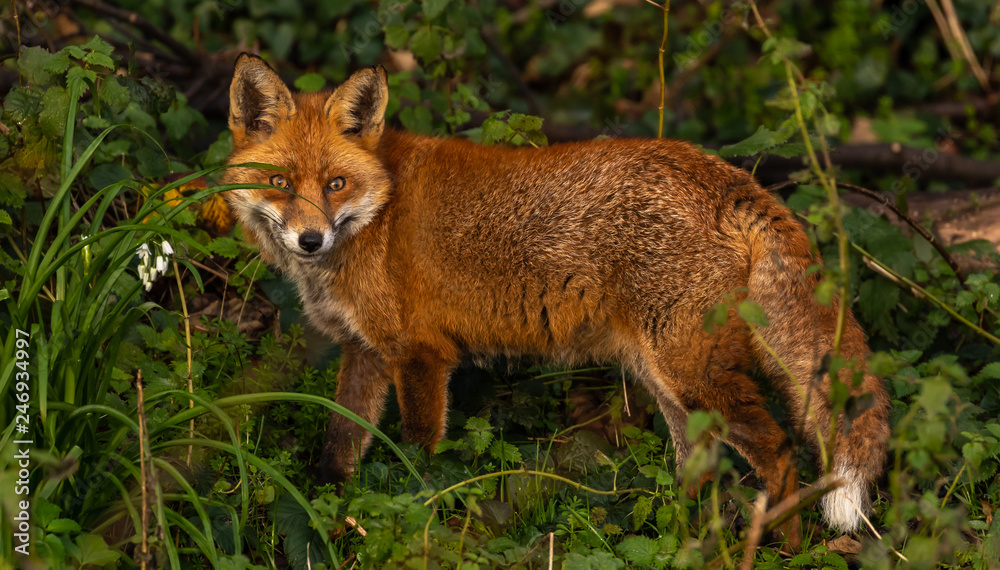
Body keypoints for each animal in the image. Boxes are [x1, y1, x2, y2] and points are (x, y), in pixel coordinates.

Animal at [222, 53, 890, 548]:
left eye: (336, 184)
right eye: (280, 184)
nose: (311, 239)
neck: (375, 217)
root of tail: (717, 171)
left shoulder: (420, 354)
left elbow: (419, 461)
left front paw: (416, 518)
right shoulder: (364, 352)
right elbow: (340, 448)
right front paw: (326, 514)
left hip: (692, 376)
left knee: (778, 451)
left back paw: (781, 547)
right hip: (669, 380)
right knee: (698, 465)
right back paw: (677, 539)